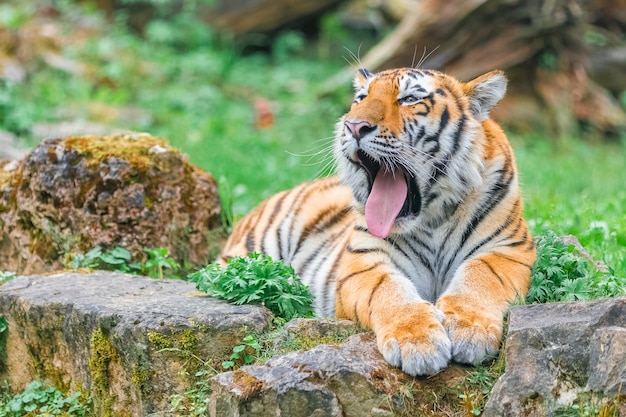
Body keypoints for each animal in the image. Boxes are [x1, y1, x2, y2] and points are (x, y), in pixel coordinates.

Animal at [217, 66, 532, 376]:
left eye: (408, 99)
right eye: (360, 98)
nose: (354, 126)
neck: (431, 218)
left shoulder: (509, 248)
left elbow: (480, 277)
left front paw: (470, 330)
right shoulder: (363, 261)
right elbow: (390, 290)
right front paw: (418, 342)